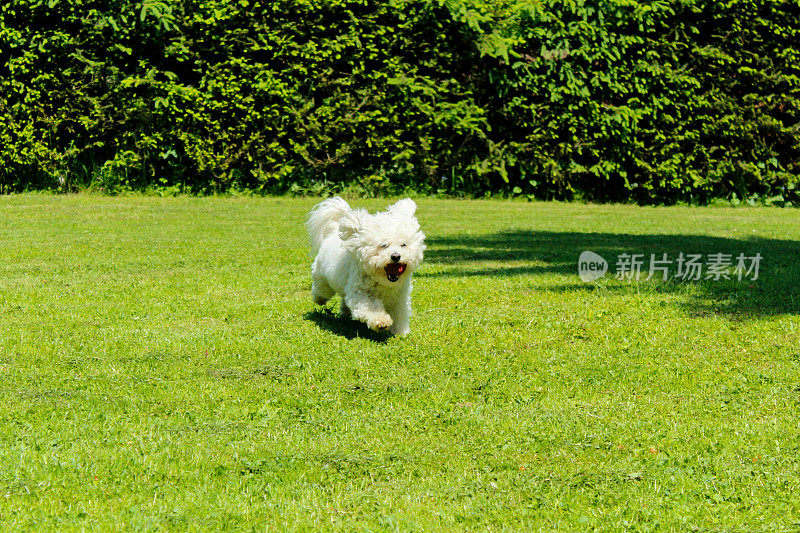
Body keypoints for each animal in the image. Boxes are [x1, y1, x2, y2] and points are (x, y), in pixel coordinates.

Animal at [306, 197, 424, 334]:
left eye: (403, 244)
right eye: (383, 245)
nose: (396, 256)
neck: (384, 282)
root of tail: (333, 231)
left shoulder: (399, 297)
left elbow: (399, 313)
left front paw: (400, 332)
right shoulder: (360, 294)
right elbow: (371, 308)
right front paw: (381, 322)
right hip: (322, 276)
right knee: (321, 289)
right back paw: (319, 299)